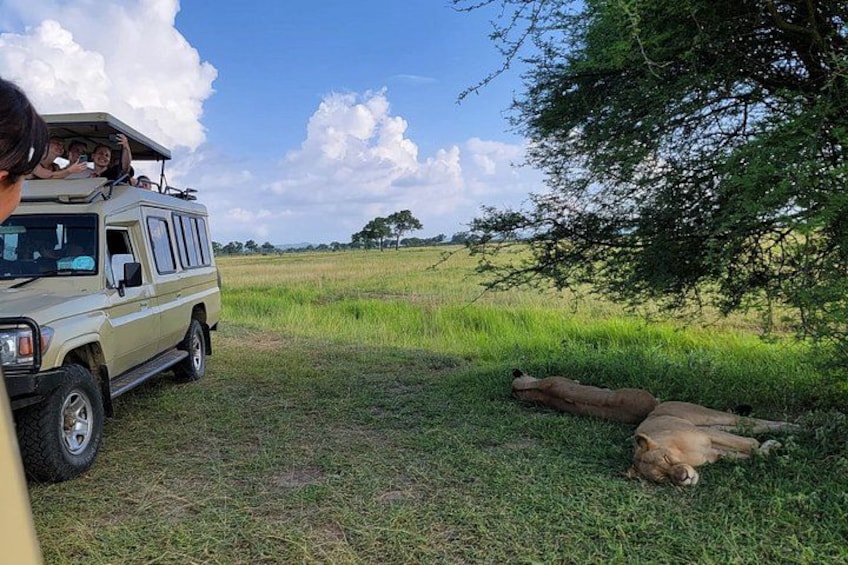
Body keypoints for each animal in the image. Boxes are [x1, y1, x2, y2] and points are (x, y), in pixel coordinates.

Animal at [626, 401, 798, 486]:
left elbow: (752, 444)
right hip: (713, 425)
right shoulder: (717, 452)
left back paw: (794, 427)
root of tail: (657, 406)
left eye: (666, 459)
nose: (683, 477)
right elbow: (753, 453)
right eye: (662, 478)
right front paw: (770, 447)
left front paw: (771, 445)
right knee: (745, 427)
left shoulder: (707, 435)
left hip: (708, 417)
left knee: (751, 422)